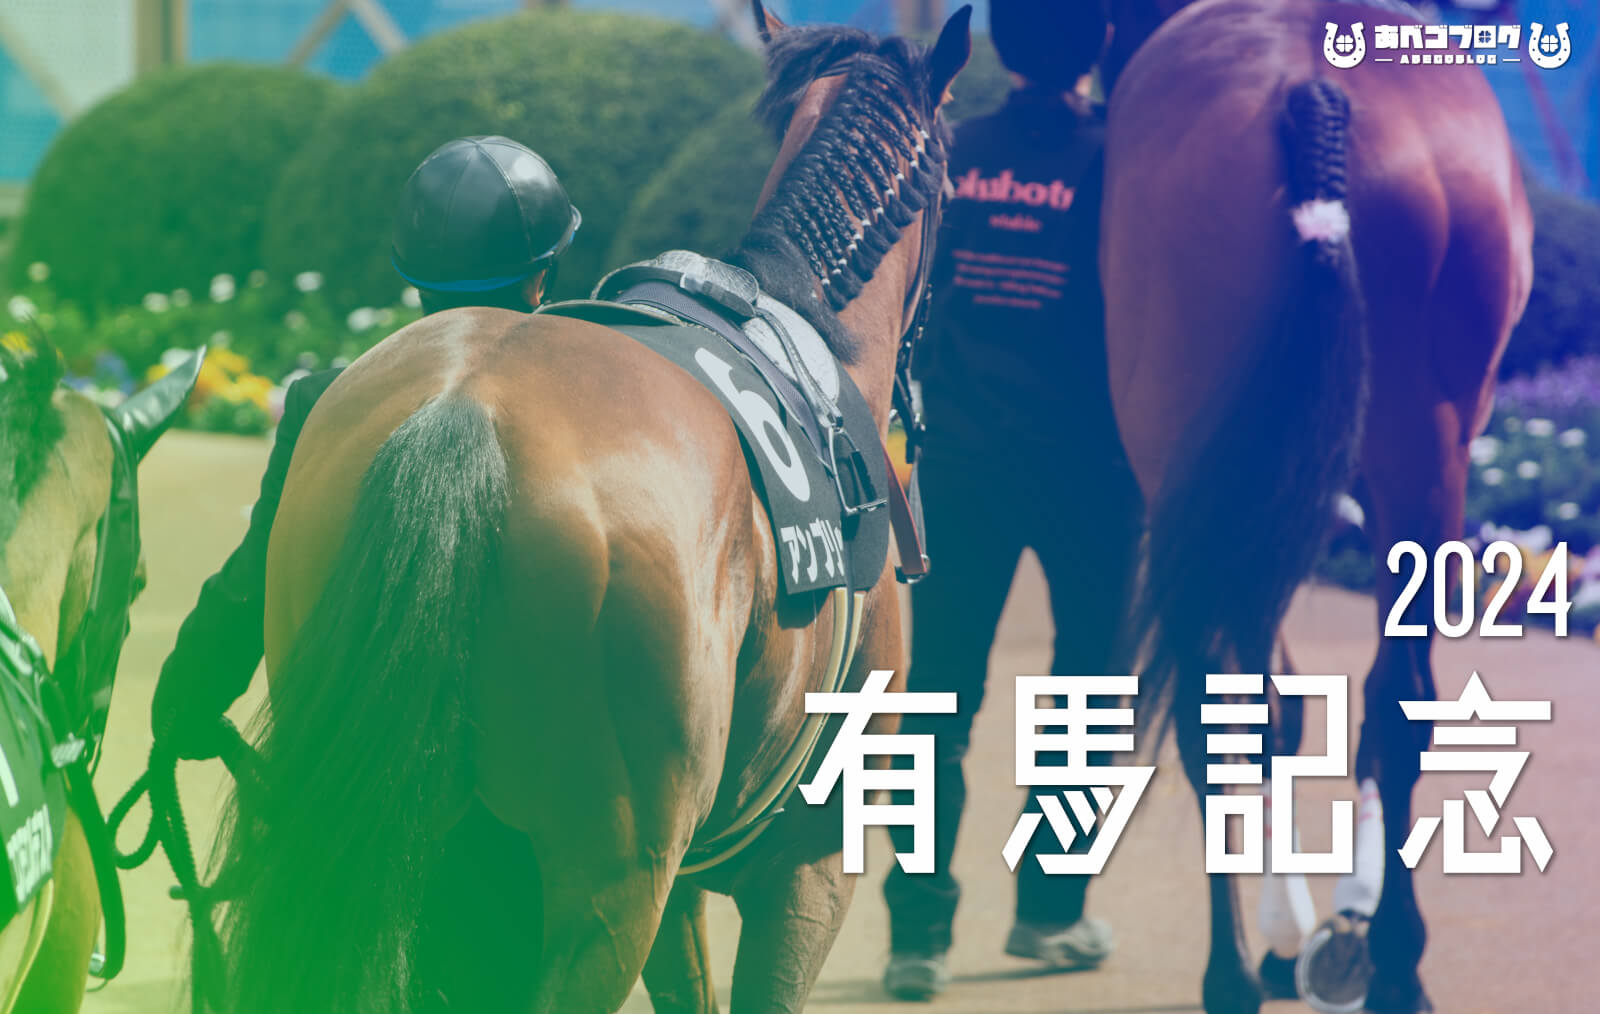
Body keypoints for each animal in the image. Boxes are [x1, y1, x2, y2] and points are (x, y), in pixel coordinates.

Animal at [1098, 2, 1533, 1013]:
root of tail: (1312, 92)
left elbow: (1269, 707)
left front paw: (1295, 933)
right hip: (1422, 459)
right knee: (1398, 702)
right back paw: (1396, 961)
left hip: (1196, 462)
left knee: (1226, 708)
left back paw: (1236, 968)